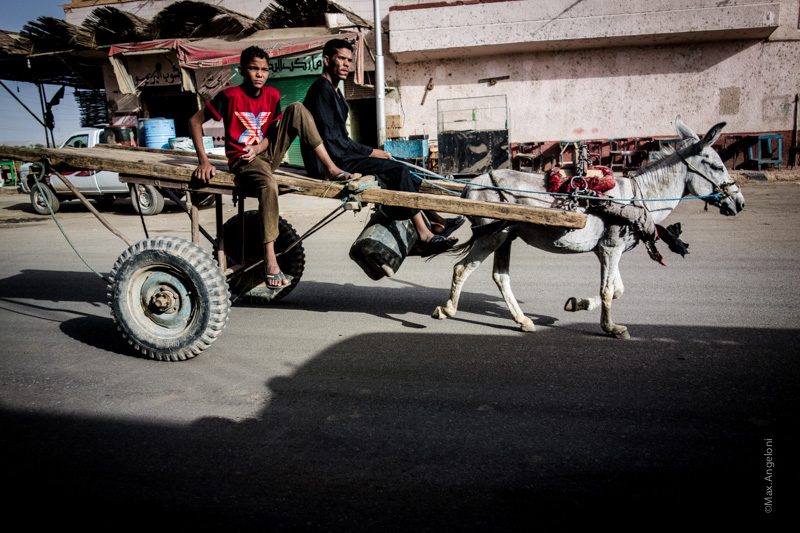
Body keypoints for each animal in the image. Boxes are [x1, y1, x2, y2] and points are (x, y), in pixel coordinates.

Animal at [432, 116, 745, 338]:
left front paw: (577, 303)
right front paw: (611, 328)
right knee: (462, 269)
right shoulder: (610, 248)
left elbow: (618, 289)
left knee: (500, 276)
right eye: (717, 167)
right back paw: (447, 310)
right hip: (492, 236)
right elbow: (608, 290)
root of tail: (473, 183)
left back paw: (523, 321)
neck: (638, 197)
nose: (739, 203)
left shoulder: (608, 250)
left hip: (506, 236)